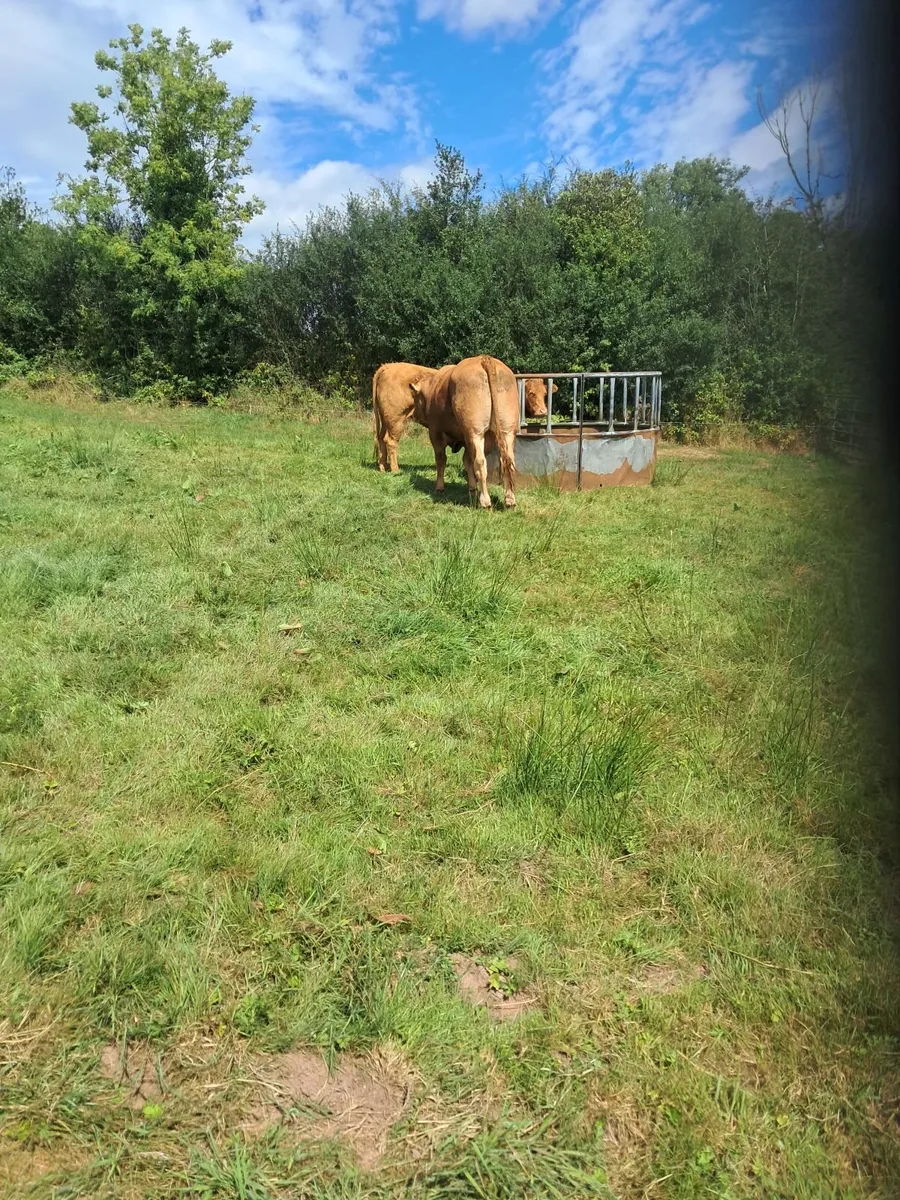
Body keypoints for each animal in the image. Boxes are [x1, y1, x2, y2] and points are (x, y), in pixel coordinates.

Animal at [410, 355, 520, 509]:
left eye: (414, 398)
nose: (413, 414)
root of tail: (484, 358)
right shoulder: (469, 439)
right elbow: (467, 460)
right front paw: (472, 489)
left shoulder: (435, 432)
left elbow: (441, 459)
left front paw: (439, 487)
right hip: (507, 431)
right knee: (508, 462)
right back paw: (510, 500)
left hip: (475, 432)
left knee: (480, 463)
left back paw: (485, 501)